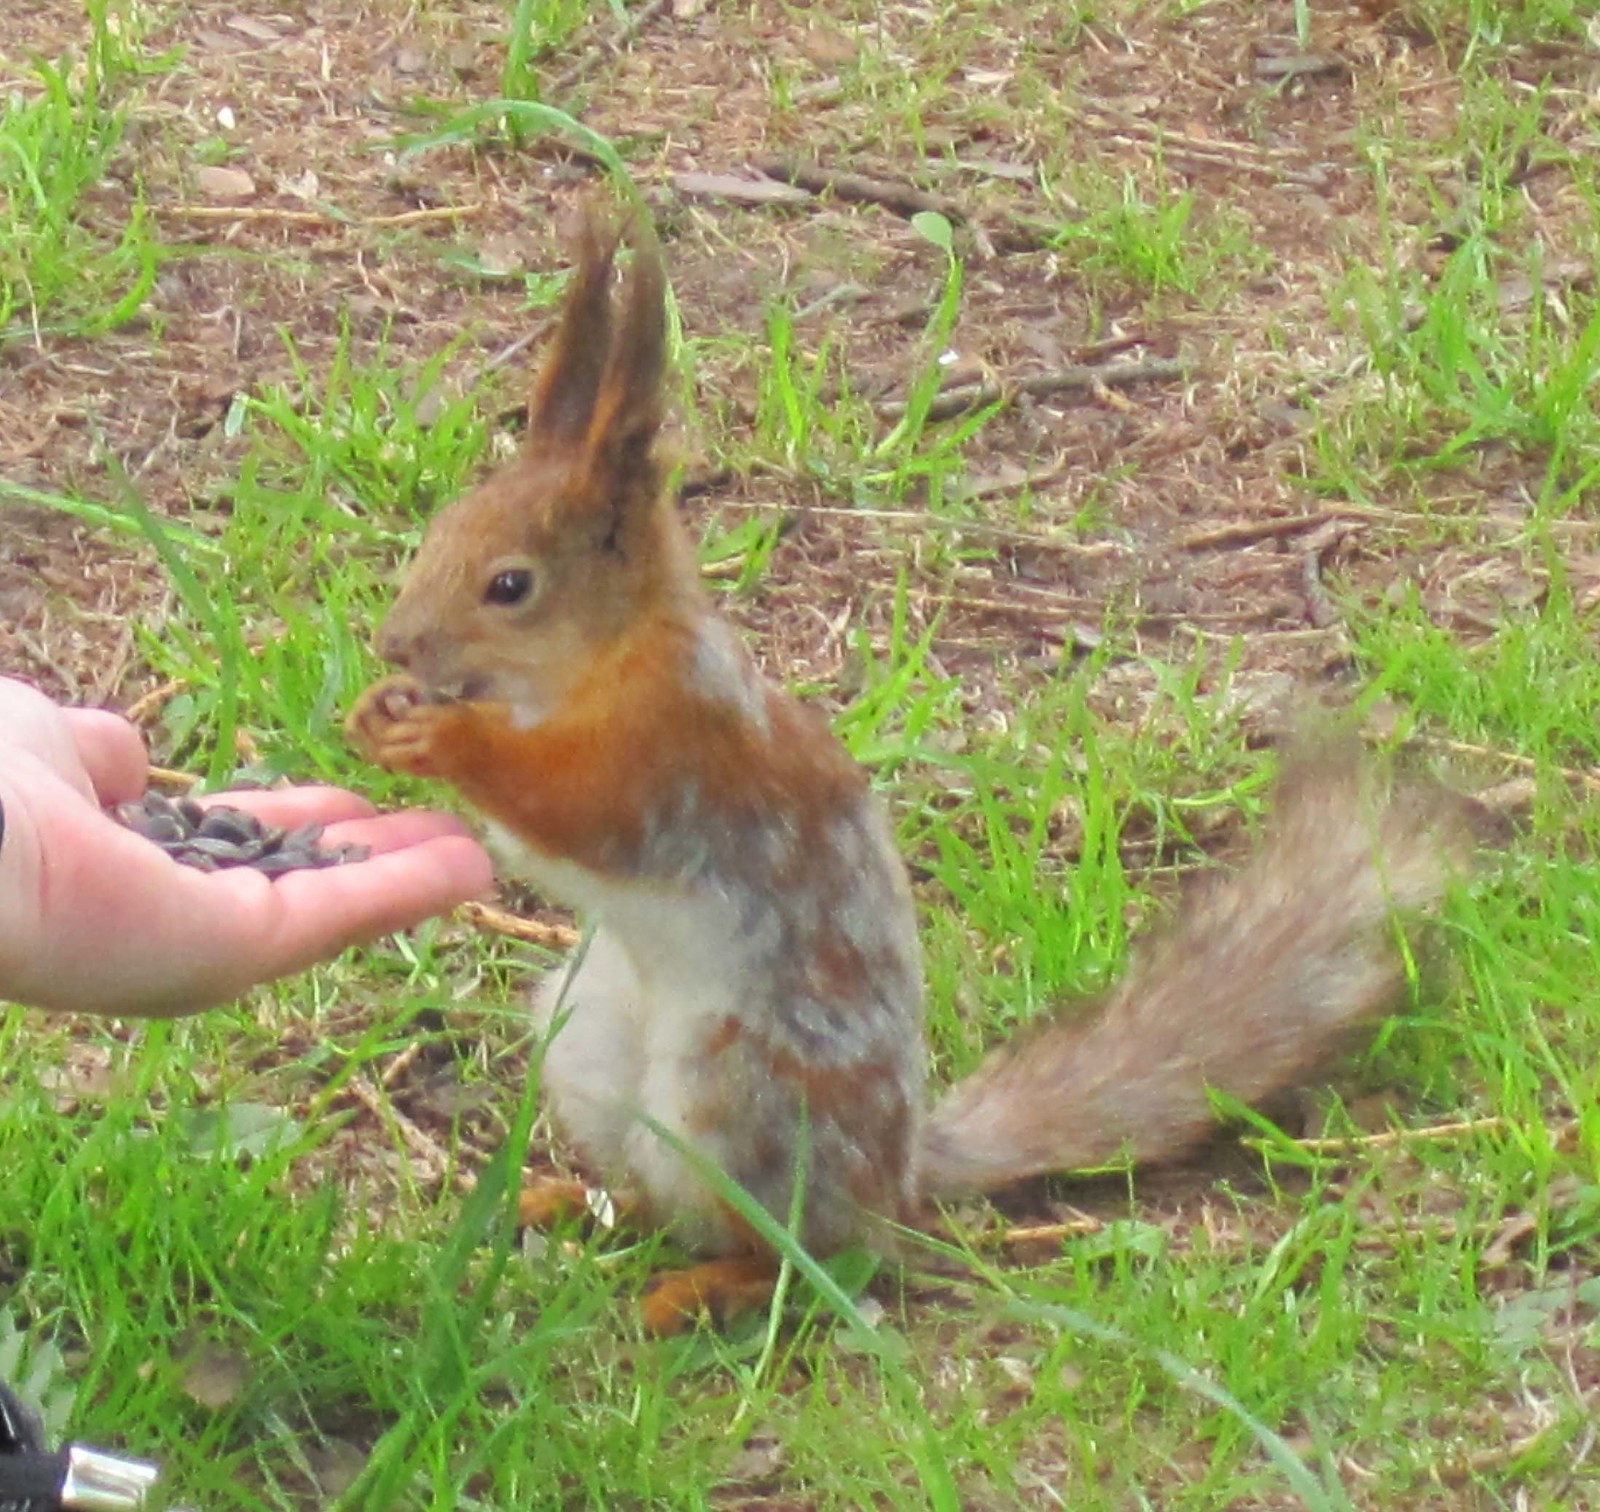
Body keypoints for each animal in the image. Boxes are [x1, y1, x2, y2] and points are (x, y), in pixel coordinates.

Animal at [347, 212, 1465, 1331]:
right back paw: (577, 1200)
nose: (393, 644)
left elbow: (572, 808)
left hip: (742, 1096)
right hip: (588, 1046)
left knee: (810, 1252)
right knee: (665, 1196)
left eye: (510, 586)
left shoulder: (671, 750)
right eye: (440, 533)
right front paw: (382, 714)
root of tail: (900, 1172)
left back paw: (705, 1288)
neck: (589, 665)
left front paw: (444, 740)